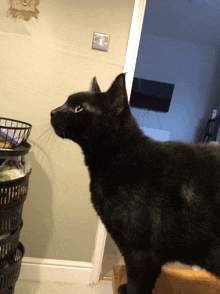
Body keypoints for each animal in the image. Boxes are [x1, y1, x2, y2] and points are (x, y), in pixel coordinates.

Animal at [50, 73, 220, 294]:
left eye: (78, 108)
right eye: (66, 102)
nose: (53, 111)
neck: (120, 156)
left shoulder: (140, 253)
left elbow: (137, 285)